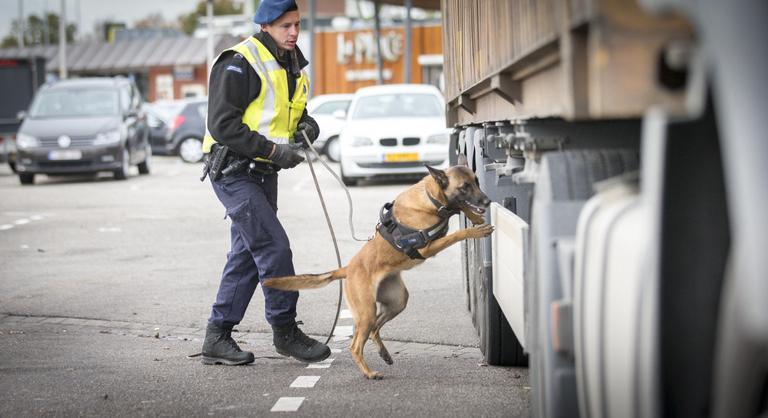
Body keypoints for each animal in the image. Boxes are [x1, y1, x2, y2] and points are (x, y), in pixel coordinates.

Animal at [262, 158, 492, 380]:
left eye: (477, 182)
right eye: (464, 187)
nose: (487, 201)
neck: (431, 199)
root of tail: (348, 268)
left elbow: (460, 209)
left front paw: (476, 217)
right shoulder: (428, 247)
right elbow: (456, 233)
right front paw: (476, 230)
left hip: (396, 302)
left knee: (374, 329)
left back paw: (384, 354)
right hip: (366, 312)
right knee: (356, 345)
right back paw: (369, 373)